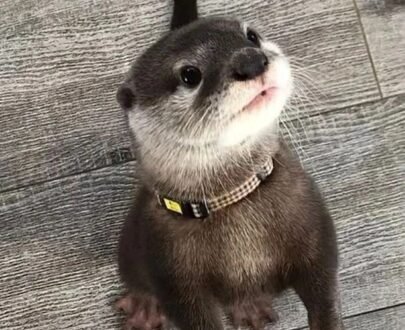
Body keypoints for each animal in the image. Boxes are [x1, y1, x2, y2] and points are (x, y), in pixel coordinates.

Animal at [115, 0, 342, 330]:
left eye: (252, 36)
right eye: (189, 74)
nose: (251, 61)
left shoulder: (315, 227)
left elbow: (324, 290)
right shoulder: (172, 274)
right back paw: (144, 308)